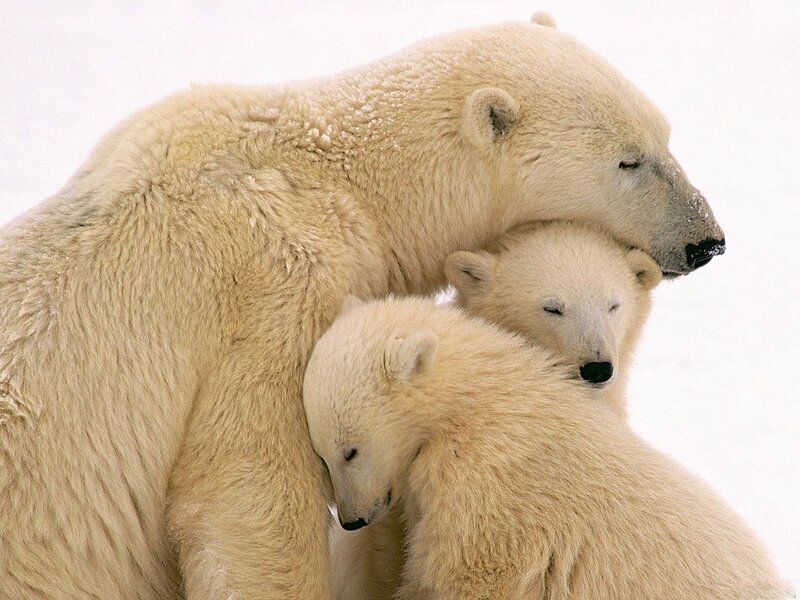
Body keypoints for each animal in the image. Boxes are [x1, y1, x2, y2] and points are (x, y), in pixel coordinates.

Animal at [305, 296, 789, 600]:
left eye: (350, 450)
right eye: (322, 455)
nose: (351, 519)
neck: (475, 404)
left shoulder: (489, 489)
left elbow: (469, 574)